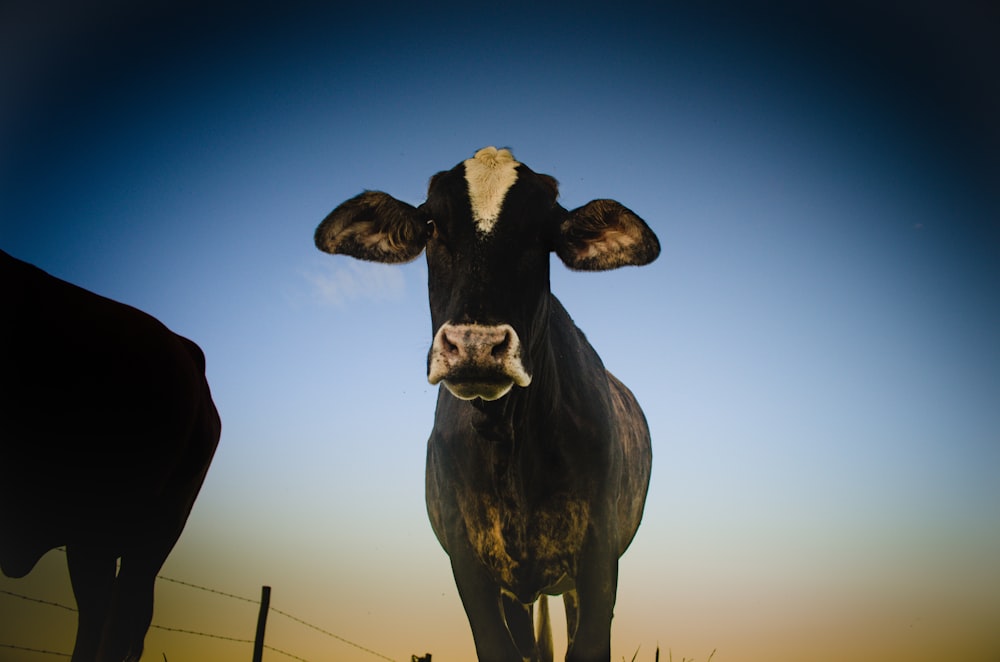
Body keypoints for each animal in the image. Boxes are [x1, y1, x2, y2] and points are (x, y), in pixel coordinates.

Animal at [312, 148, 656, 660]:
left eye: (543, 232)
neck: (509, 443)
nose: (476, 345)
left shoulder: (599, 560)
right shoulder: (471, 567)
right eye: (431, 224)